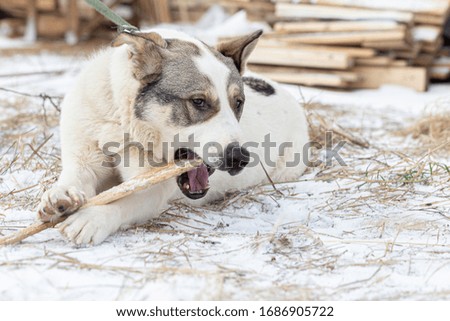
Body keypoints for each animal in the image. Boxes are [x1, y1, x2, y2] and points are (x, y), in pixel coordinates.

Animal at [37, 28, 310, 244]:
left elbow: (121, 204)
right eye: (199, 101)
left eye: (238, 103)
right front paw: (60, 196)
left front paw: (93, 218)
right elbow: (74, 176)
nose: (239, 158)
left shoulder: (151, 190)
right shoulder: (83, 159)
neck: (125, 130)